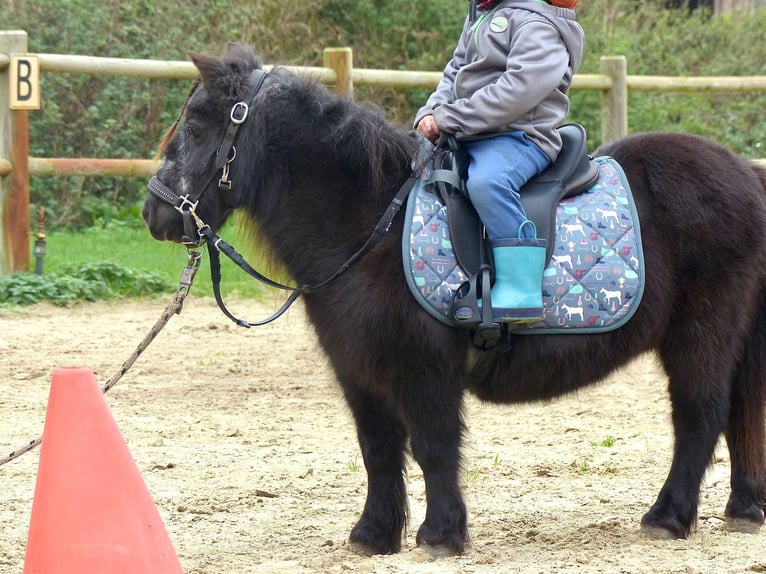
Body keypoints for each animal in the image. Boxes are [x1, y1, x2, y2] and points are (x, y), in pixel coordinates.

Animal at [141, 45, 766, 560]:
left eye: (197, 125)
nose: (155, 214)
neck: (368, 223)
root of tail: (748, 175)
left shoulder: (424, 369)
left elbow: (434, 445)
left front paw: (441, 535)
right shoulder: (359, 372)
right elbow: (378, 449)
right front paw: (374, 535)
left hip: (702, 332)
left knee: (701, 414)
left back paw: (668, 517)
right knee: (740, 411)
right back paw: (743, 509)